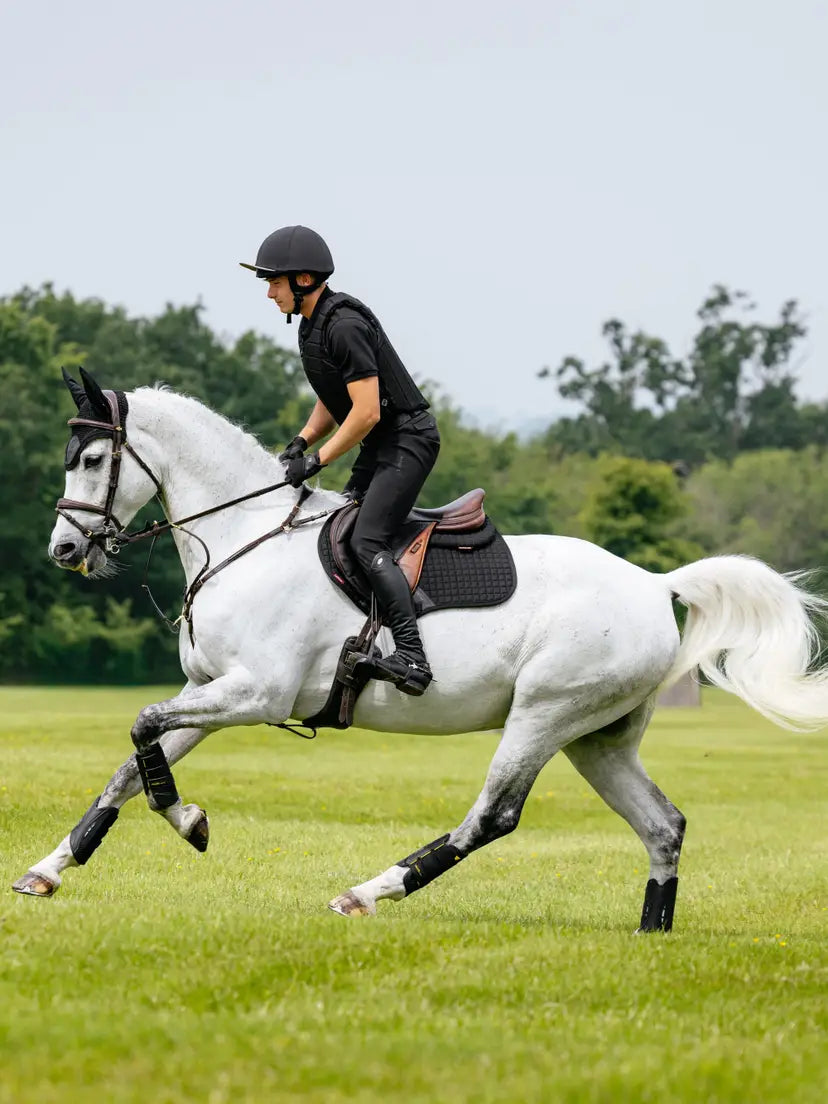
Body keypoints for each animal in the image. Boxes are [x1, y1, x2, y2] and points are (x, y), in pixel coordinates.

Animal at [12, 368, 828, 930]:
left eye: (91, 459)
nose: (63, 550)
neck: (245, 536)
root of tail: (656, 584)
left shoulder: (255, 692)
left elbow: (142, 731)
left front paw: (190, 822)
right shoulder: (209, 691)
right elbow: (131, 764)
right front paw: (48, 871)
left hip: (545, 714)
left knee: (492, 818)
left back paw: (370, 892)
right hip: (597, 738)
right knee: (663, 825)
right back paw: (651, 932)